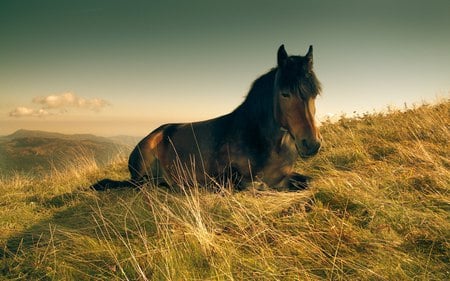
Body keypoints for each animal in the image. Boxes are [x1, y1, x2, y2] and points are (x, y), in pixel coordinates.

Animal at [91, 45, 322, 190]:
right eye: (285, 94)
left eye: (315, 94)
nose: (311, 144)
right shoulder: (227, 178)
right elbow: (253, 185)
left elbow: (308, 181)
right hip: (141, 172)